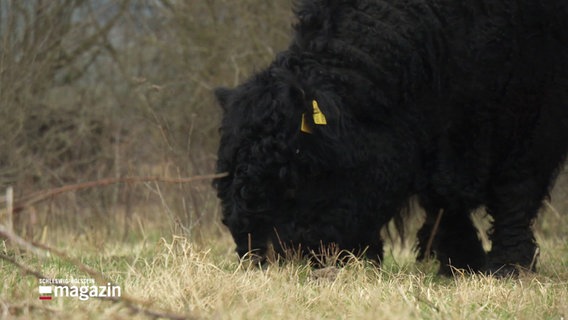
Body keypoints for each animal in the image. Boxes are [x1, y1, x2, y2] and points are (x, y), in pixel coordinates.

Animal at [214, 0, 568, 276]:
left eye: (292, 181)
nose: (260, 258)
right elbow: (443, 203)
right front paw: (459, 264)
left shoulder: (534, 115)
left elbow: (515, 194)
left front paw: (510, 266)